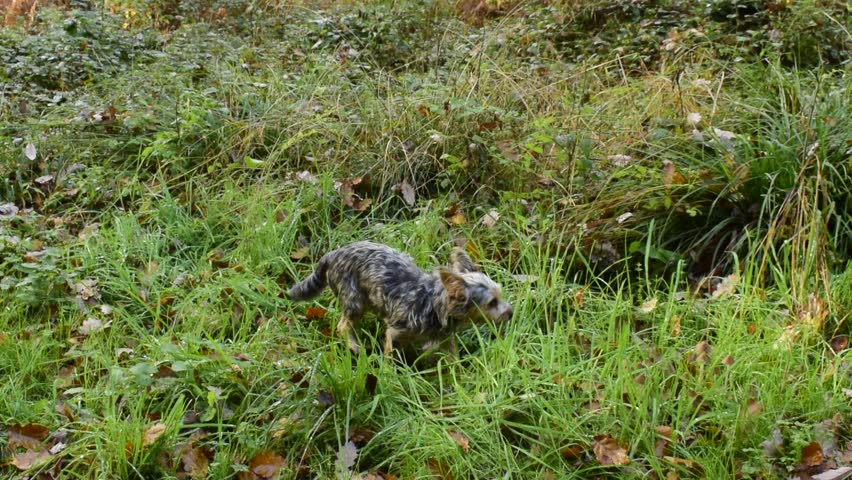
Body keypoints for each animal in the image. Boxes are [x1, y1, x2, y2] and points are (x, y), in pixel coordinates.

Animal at [286, 242, 512, 354]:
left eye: (501, 296)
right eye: (491, 303)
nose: (511, 313)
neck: (433, 304)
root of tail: (332, 254)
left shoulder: (445, 338)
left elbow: (452, 357)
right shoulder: (395, 332)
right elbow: (390, 354)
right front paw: (390, 375)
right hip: (354, 299)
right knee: (342, 326)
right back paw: (355, 347)